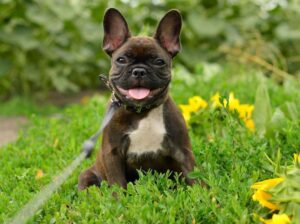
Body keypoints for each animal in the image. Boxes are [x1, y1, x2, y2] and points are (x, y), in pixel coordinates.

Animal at [78, 7, 197, 190]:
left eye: (159, 61)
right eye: (121, 60)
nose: (139, 71)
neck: (142, 111)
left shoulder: (183, 151)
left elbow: (195, 176)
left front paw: (205, 194)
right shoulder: (112, 153)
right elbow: (117, 184)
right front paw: (119, 198)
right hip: (86, 175)